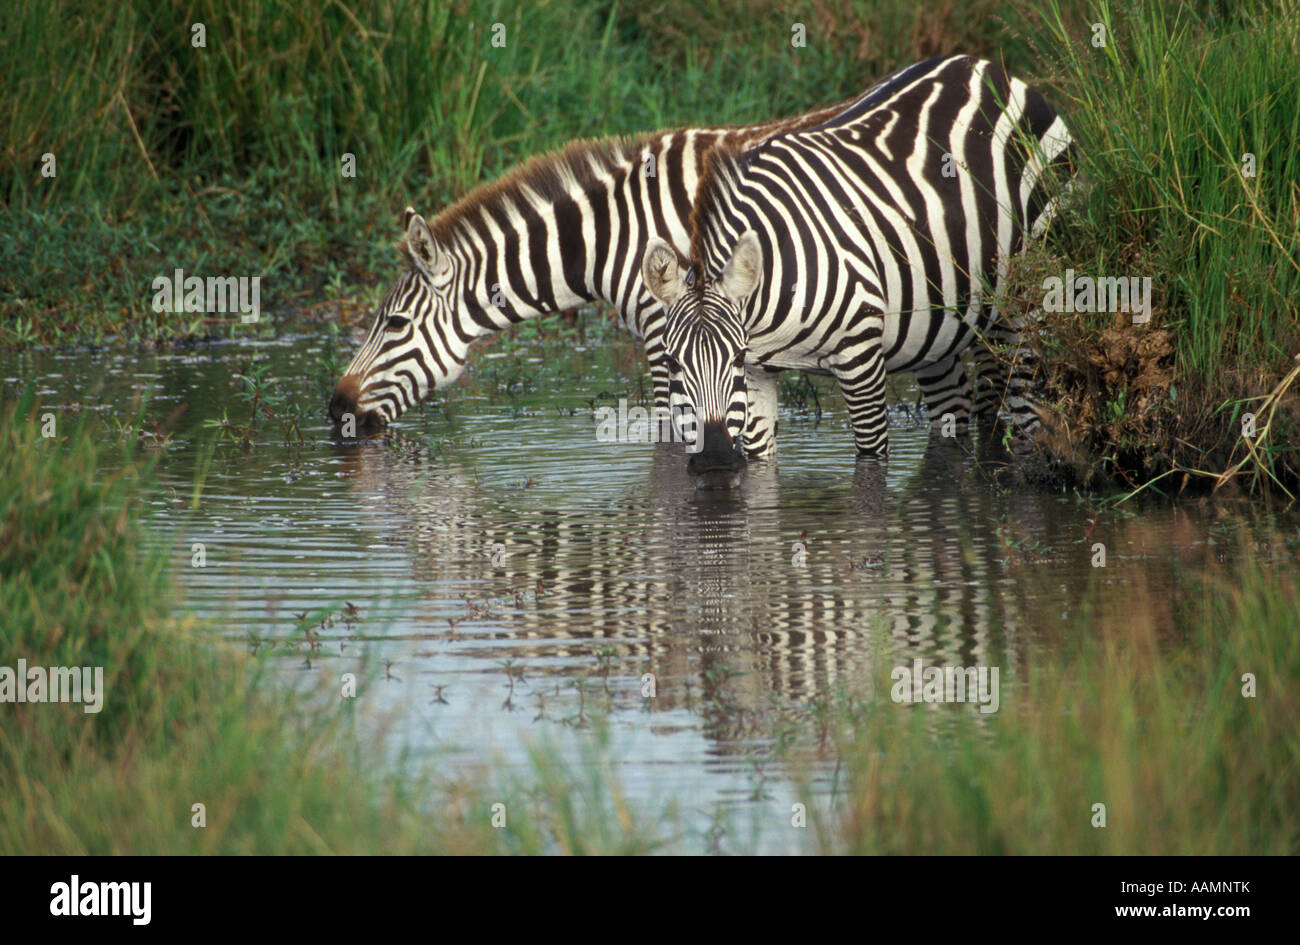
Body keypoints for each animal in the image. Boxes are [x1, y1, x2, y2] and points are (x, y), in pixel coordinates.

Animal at [639, 54, 1076, 483]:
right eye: (674, 363)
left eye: (734, 359)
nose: (714, 461)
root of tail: (987, 67)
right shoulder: (760, 375)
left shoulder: (861, 357)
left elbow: (870, 465)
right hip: (941, 331)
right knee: (959, 409)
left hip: (1033, 291)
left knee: (1023, 403)